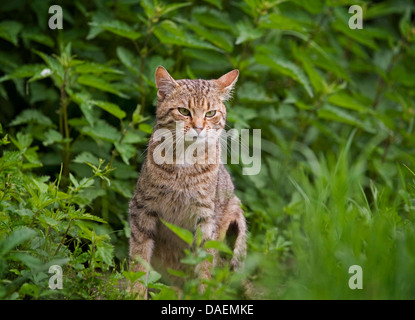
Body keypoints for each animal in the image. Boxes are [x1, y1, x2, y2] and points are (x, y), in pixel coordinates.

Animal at [129, 66, 247, 298]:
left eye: (210, 113)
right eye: (184, 111)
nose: (199, 127)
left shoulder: (207, 219)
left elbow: (205, 265)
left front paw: (203, 293)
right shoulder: (142, 209)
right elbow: (139, 260)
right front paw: (134, 293)